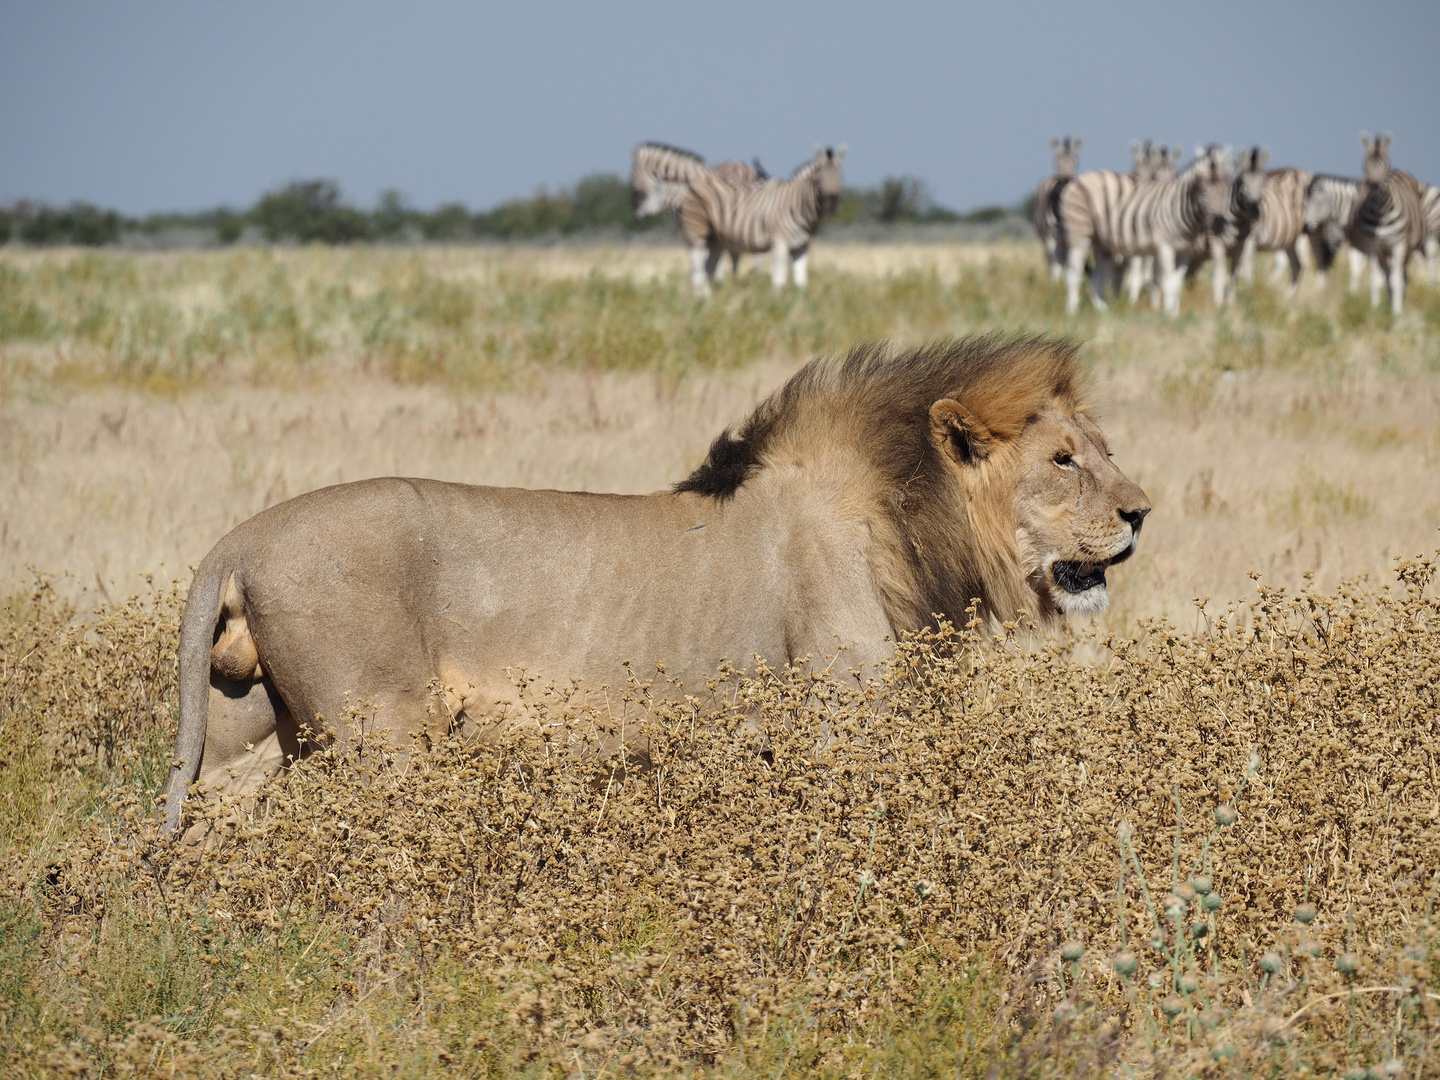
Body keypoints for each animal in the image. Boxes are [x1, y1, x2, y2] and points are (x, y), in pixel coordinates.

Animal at [160, 338, 1146, 835]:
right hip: (384, 741)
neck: (905, 517)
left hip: (247, 729)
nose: (1141, 512)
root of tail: (240, 538)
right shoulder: (842, 721)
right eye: (1063, 462)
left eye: (1104, 450)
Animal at [673, 146, 840, 296]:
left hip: (715, 239)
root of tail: (695, 184)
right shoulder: (779, 243)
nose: (831, 205)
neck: (796, 203)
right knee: (697, 267)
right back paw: (703, 298)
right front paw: (777, 304)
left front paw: (800, 303)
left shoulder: (802, 245)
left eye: (840, 178)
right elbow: (779, 278)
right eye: (819, 180)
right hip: (696, 232)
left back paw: (710, 297)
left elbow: (800, 281)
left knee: (708, 268)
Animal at [1036, 136, 1082, 283]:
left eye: (1077, 163)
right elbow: (1056, 266)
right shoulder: (1051, 238)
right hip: (1045, 238)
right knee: (1053, 262)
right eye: (1056, 163)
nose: (1065, 184)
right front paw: (1055, 287)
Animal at [1342, 132, 1422, 312]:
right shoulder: (1372, 247)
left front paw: (1397, 312)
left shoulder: (1399, 244)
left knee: (1402, 275)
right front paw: (1375, 310)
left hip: (1407, 249)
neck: (1381, 215)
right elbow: (1375, 281)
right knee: (1386, 275)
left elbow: (1397, 280)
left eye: (1386, 166)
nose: (1373, 186)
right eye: (1365, 166)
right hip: (1383, 253)